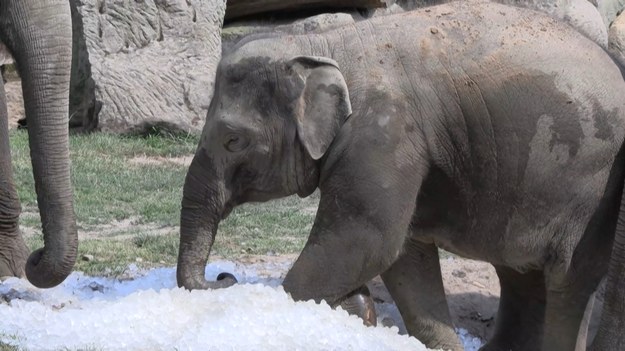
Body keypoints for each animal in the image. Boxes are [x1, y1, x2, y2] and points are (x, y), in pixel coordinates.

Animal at [174, 1, 624, 350]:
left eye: (233, 140)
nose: (224, 276)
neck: (324, 44)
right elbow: (404, 254)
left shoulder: (383, 132)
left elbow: (364, 239)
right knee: (521, 275)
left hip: (591, 190)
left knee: (568, 282)